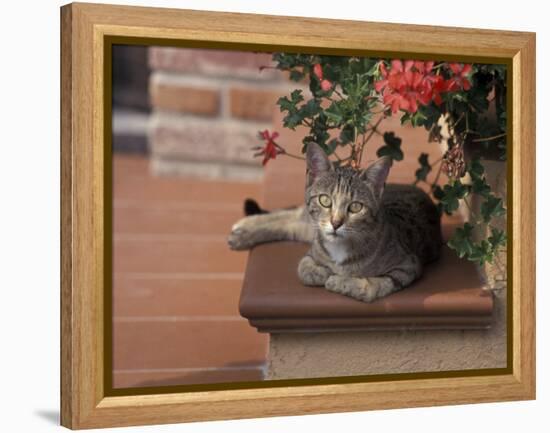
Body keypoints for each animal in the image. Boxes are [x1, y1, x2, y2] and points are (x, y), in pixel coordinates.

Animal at [230, 143, 444, 302]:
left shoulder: (408, 265)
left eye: (355, 207)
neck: (341, 247)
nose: (335, 223)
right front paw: (322, 273)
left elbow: (374, 285)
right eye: (325, 200)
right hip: (311, 224)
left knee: (288, 224)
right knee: (292, 215)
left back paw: (242, 233)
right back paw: (243, 229)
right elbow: (303, 268)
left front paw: (340, 281)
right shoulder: (313, 248)